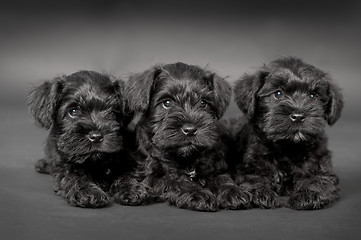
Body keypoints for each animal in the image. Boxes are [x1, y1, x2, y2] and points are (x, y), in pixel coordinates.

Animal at [28, 70, 141, 207]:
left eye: (112, 112)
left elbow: (127, 173)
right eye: (73, 111)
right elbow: (74, 177)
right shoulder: (63, 165)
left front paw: (131, 188)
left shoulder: (129, 159)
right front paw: (89, 192)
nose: (96, 136)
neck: (95, 162)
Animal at [124, 62, 250, 212]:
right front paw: (199, 193)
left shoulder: (215, 167)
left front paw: (233, 192)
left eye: (203, 103)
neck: (187, 159)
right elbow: (177, 182)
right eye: (167, 103)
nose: (190, 130)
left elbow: (223, 178)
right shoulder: (152, 178)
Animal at [232, 57, 342, 210]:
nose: (298, 116)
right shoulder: (249, 166)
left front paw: (308, 195)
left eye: (313, 95)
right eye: (278, 94)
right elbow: (252, 178)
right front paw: (262, 193)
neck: (288, 146)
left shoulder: (322, 168)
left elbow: (320, 180)